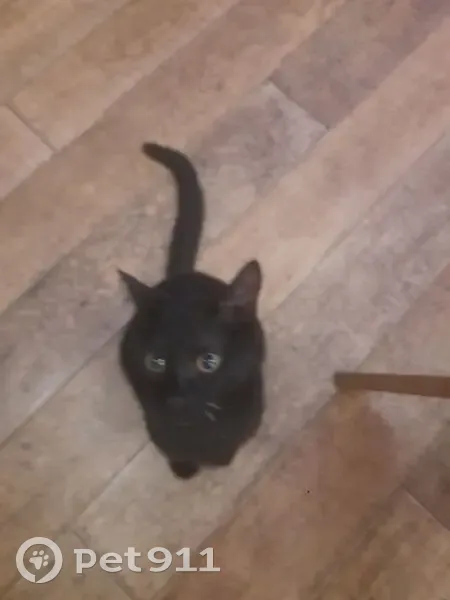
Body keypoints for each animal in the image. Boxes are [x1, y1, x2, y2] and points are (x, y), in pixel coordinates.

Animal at [118, 142, 265, 479]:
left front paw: (222, 459)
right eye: (155, 362)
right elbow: (172, 446)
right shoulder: (157, 425)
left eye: (209, 361)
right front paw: (183, 469)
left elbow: (229, 444)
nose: (176, 398)